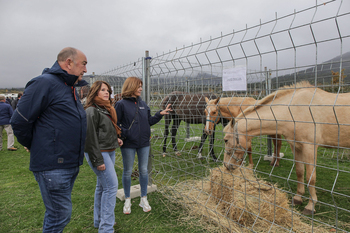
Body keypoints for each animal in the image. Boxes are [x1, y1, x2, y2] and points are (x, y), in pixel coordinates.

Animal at [224, 82, 350, 215]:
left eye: (226, 140)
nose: (226, 165)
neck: (294, 110)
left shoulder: (310, 148)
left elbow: (310, 178)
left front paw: (310, 206)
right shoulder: (296, 146)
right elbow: (299, 171)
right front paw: (298, 198)